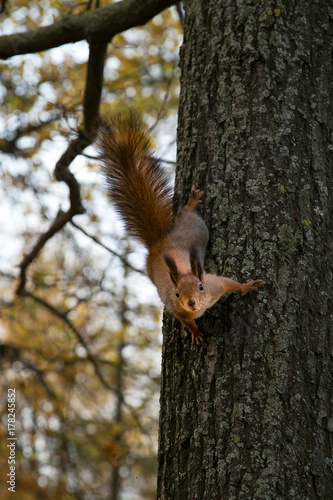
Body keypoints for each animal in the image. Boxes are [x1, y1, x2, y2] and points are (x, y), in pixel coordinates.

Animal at [97, 108, 264, 344]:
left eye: (201, 287)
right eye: (177, 293)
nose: (191, 303)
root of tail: (160, 240)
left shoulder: (216, 284)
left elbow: (231, 283)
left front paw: (249, 286)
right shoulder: (176, 310)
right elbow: (187, 322)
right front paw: (195, 333)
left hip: (196, 227)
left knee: (186, 212)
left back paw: (191, 203)